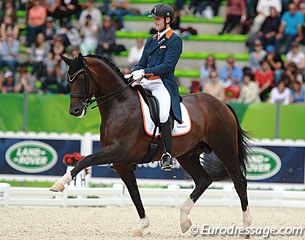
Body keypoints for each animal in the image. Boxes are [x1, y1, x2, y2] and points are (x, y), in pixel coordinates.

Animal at [51, 54, 252, 236]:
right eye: (68, 79)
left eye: (81, 78)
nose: (75, 110)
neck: (120, 104)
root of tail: (222, 104)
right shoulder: (121, 163)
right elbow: (134, 193)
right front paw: (142, 226)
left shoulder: (118, 151)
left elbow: (85, 160)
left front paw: (59, 184)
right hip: (188, 155)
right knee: (203, 180)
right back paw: (184, 221)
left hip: (224, 148)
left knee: (239, 182)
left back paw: (246, 227)